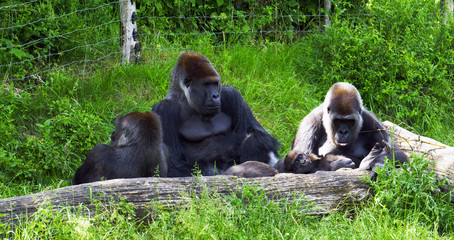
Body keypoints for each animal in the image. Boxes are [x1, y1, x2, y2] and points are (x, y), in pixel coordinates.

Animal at [152, 51, 280, 177]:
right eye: (207, 84)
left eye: (215, 83)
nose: (215, 96)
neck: (186, 100)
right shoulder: (164, 110)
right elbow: (176, 164)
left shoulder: (232, 95)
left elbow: (259, 133)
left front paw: (251, 146)